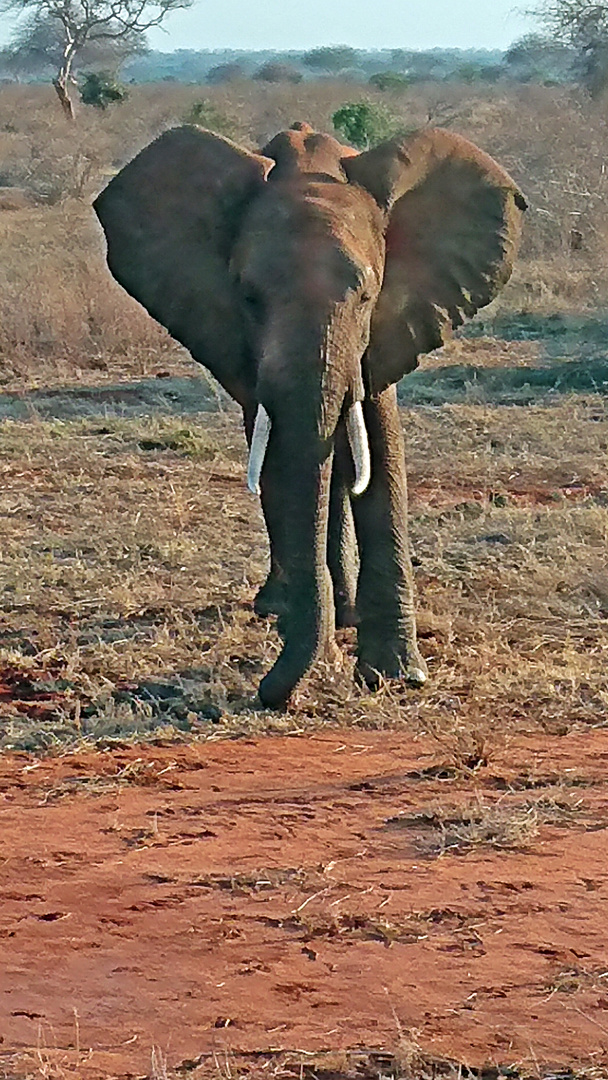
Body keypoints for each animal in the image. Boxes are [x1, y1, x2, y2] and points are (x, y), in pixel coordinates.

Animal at [95, 120, 529, 708]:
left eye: (367, 295)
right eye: (248, 297)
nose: (270, 692)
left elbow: (379, 445)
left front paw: (397, 676)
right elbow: (285, 456)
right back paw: (286, 606)